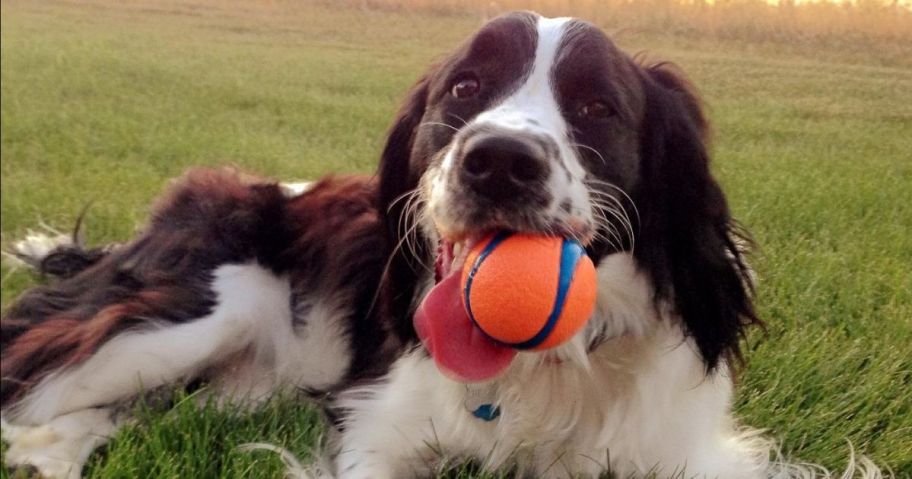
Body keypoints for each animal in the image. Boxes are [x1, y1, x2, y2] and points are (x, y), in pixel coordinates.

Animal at [0, 10, 884, 479]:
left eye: (598, 106)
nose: (500, 159)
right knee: (32, 393)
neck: (538, 368)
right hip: (207, 309)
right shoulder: (377, 431)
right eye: (465, 88)